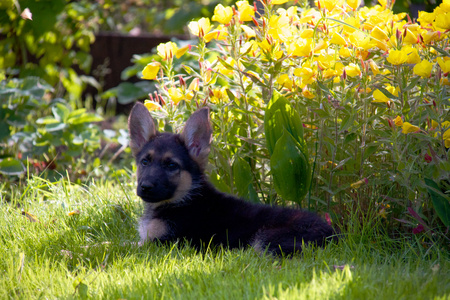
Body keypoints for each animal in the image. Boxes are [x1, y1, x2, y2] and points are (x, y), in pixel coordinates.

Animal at [128, 103, 336, 255]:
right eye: (145, 162)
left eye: (171, 166)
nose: (145, 187)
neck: (183, 199)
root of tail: (333, 234)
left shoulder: (160, 243)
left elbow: (124, 246)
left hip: (265, 239)